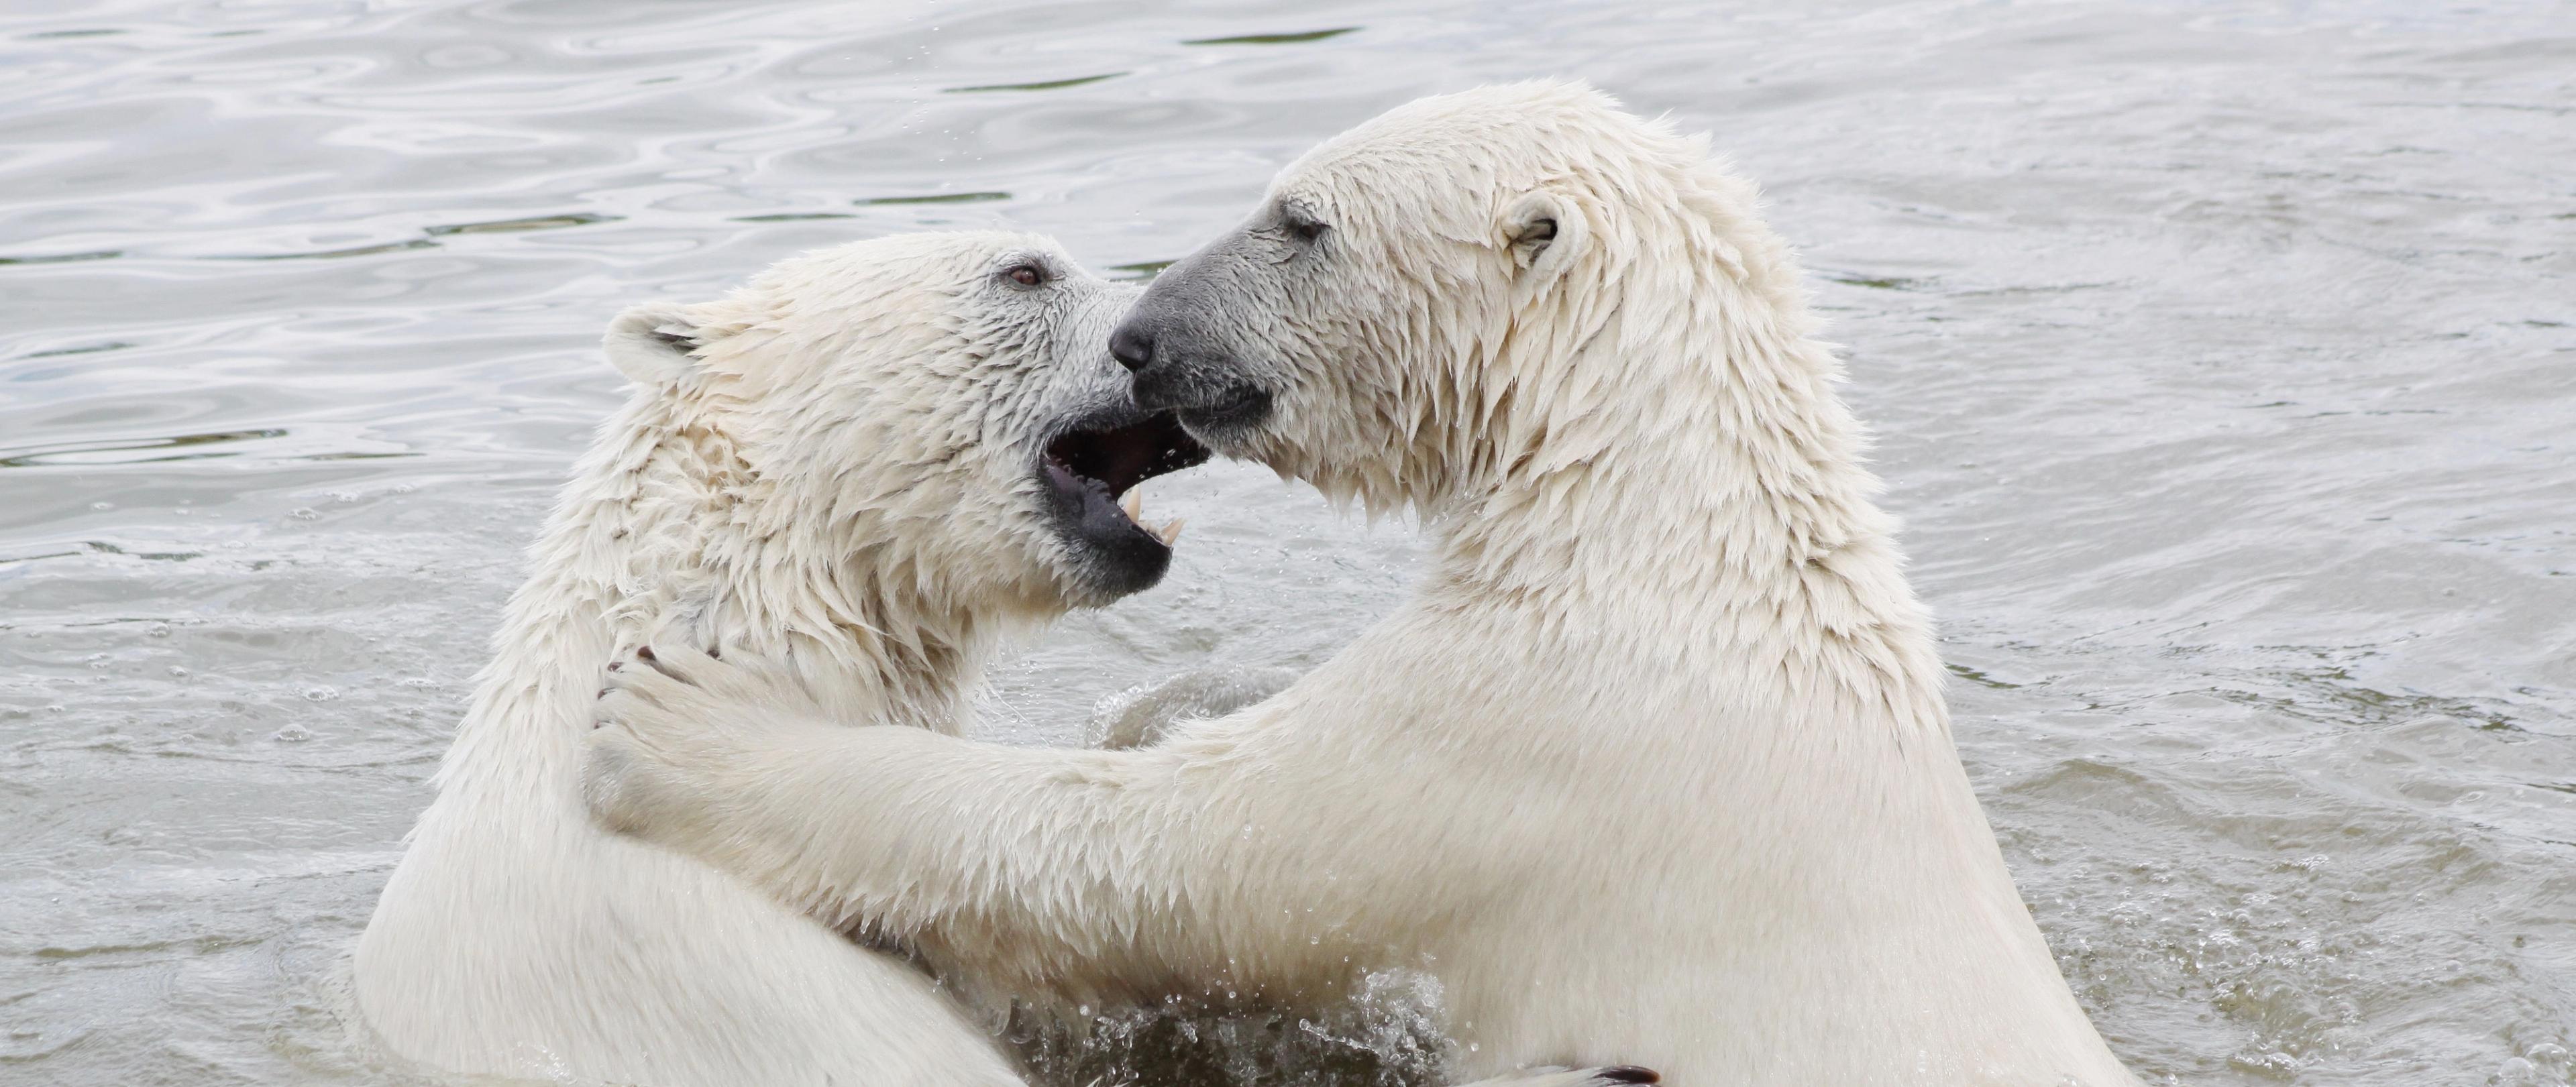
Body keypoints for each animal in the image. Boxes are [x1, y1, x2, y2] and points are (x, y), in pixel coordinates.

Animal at [578, 84, 2142, 1086]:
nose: (1145, 337)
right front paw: (1167, 700)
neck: (1669, 534)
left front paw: (683, 726)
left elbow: (1146, 858)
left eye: (1301, 220)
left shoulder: (1521, 750)